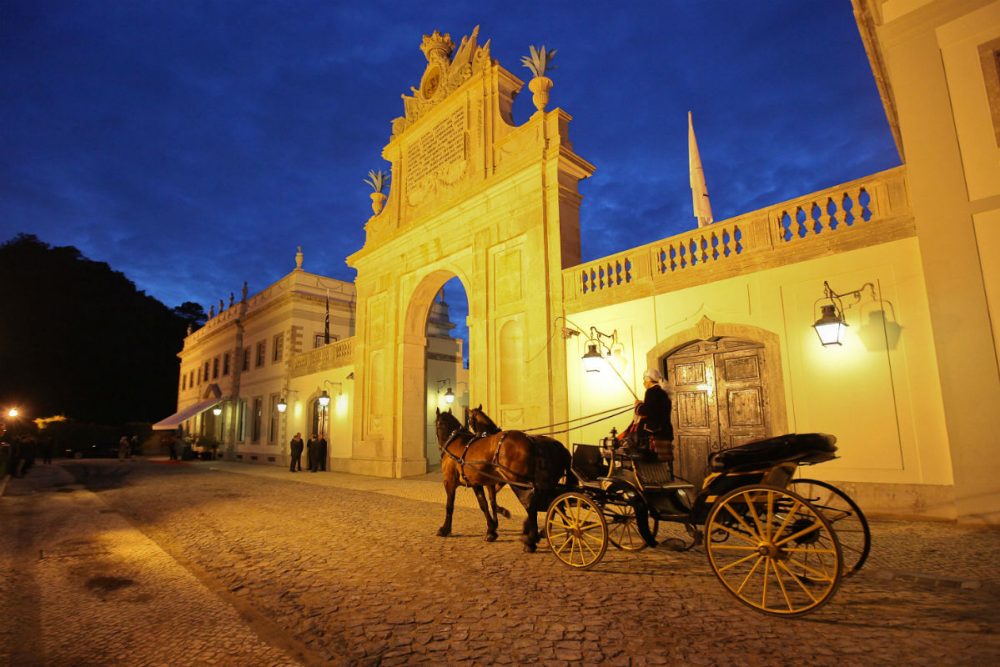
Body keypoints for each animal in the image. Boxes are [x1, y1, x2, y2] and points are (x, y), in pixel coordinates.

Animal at [436, 410, 576, 552]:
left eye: (470, 420)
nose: (477, 435)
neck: (455, 443)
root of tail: (531, 442)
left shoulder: (450, 482)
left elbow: (450, 506)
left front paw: (445, 529)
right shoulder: (479, 482)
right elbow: (486, 504)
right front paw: (492, 529)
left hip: (519, 481)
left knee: (532, 506)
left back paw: (532, 540)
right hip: (545, 484)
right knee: (557, 504)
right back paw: (565, 535)